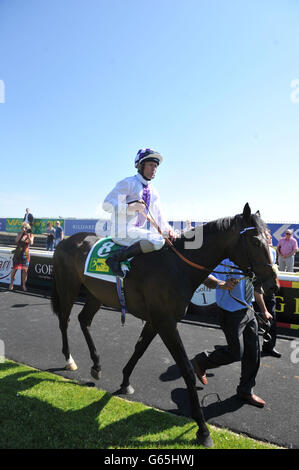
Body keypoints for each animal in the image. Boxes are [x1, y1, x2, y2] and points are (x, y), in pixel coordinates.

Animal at [51, 204, 278, 446]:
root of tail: (65, 241)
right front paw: (203, 430)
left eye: (269, 240)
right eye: (256, 242)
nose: (273, 284)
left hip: (96, 294)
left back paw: (96, 365)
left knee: (83, 320)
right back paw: (69, 359)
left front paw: (125, 381)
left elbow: (139, 350)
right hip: (68, 287)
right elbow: (186, 369)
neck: (177, 266)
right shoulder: (166, 323)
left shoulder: (155, 321)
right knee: (64, 321)